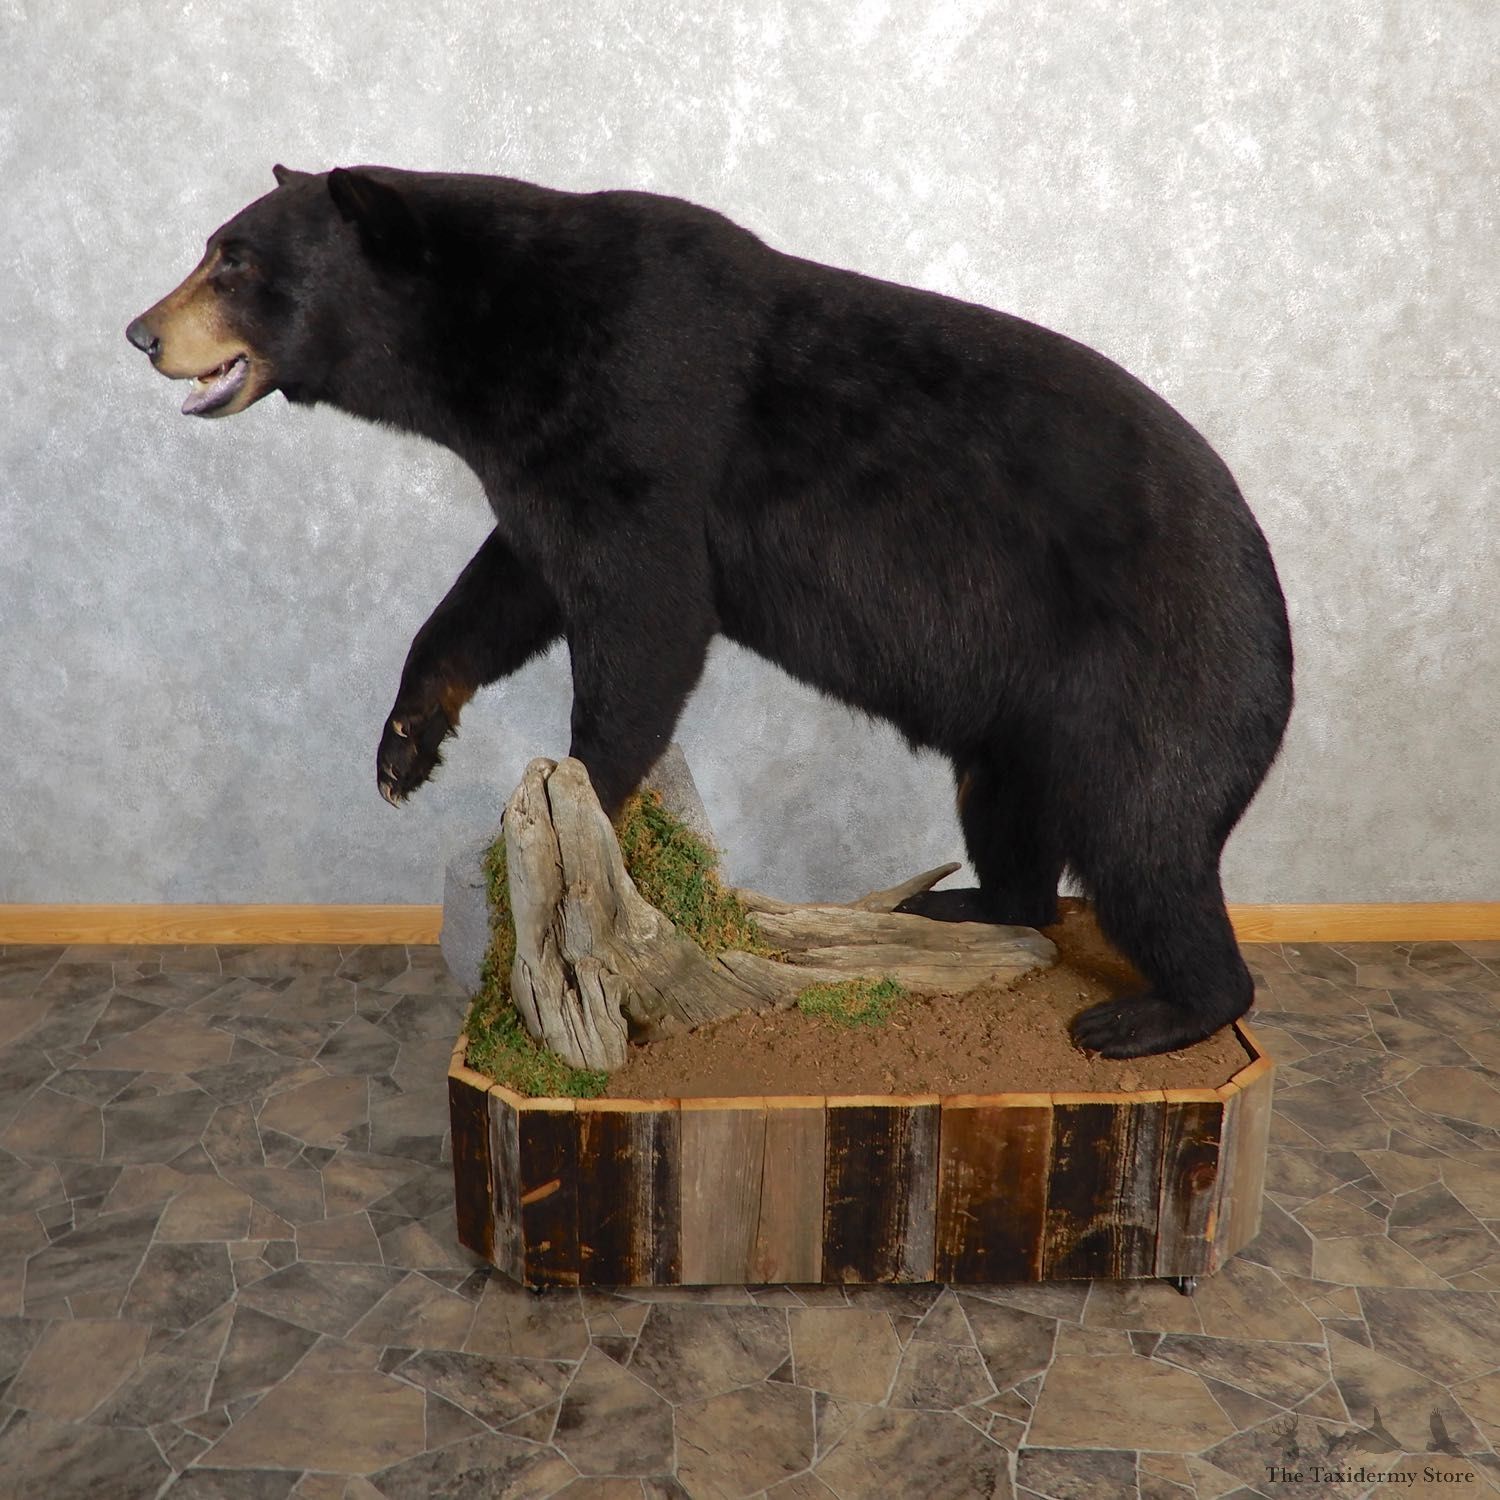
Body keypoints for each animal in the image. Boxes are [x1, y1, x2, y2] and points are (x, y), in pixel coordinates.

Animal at [126, 164, 1294, 1059]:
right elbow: (503, 590)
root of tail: (1274, 617)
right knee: (1009, 810)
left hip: (1152, 678)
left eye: (234, 260)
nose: (141, 331)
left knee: (1145, 842)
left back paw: (1155, 1013)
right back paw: (968, 904)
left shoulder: (639, 416)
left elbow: (646, 614)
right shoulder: (541, 465)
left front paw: (583, 798)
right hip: (1024, 727)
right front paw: (405, 746)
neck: (503, 341)